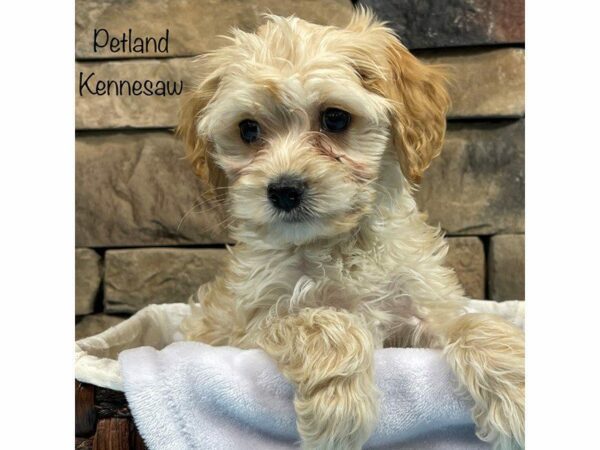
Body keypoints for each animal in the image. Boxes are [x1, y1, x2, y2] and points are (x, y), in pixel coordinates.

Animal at [177, 7, 524, 450]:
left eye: (335, 118)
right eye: (248, 129)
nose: (284, 190)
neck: (339, 241)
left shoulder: (422, 311)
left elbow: (472, 323)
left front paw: (518, 395)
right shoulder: (248, 329)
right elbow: (324, 321)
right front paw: (338, 413)